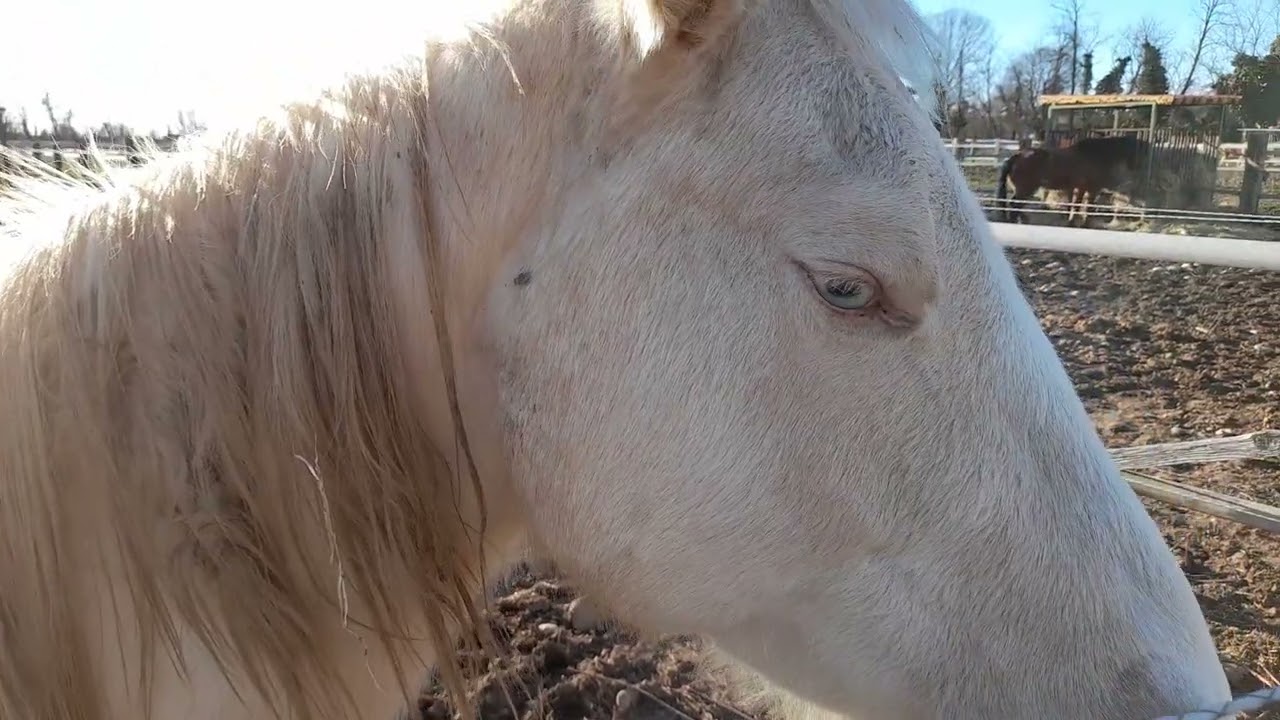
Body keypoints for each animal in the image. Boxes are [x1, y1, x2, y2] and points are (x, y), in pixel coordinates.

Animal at [996, 133, 1150, 226]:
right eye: (1138, 151)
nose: (1139, 167)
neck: (1095, 156)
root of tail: (1017, 156)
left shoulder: (1080, 188)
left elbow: (1076, 205)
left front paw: (1072, 222)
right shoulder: (1092, 189)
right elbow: (1087, 207)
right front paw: (1084, 224)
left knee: (1015, 205)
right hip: (1025, 189)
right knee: (1014, 205)